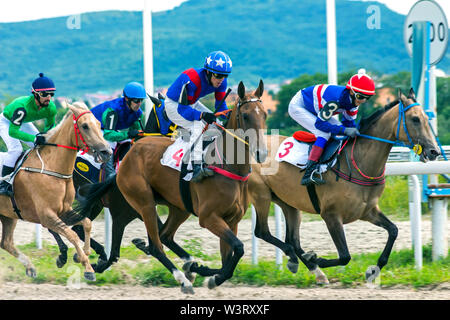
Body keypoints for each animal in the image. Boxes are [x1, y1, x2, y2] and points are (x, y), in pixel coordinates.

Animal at [0, 102, 111, 280]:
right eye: (85, 126)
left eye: (99, 124)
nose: (106, 152)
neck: (52, 168)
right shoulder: (46, 215)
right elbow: (72, 234)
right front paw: (87, 267)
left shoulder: (64, 210)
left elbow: (86, 223)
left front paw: (83, 254)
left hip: (8, 215)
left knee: (6, 243)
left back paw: (30, 267)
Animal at [78, 80, 268, 292]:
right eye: (245, 115)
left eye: (265, 114)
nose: (261, 152)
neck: (227, 166)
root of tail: (128, 157)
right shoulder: (209, 217)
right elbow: (238, 248)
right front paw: (210, 276)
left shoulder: (232, 220)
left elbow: (230, 255)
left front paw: (205, 272)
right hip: (143, 203)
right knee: (155, 245)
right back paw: (182, 279)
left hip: (174, 209)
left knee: (160, 238)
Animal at [246, 89, 440, 284]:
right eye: (415, 119)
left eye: (427, 118)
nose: (434, 151)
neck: (359, 163)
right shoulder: (331, 215)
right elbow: (345, 256)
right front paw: (316, 258)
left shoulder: (367, 211)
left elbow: (393, 230)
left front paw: (374, 270)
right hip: (261, 195)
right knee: (263, 232)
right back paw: (301, 260)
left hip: (288, 202)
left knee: (293, 239)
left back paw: (311, 269)